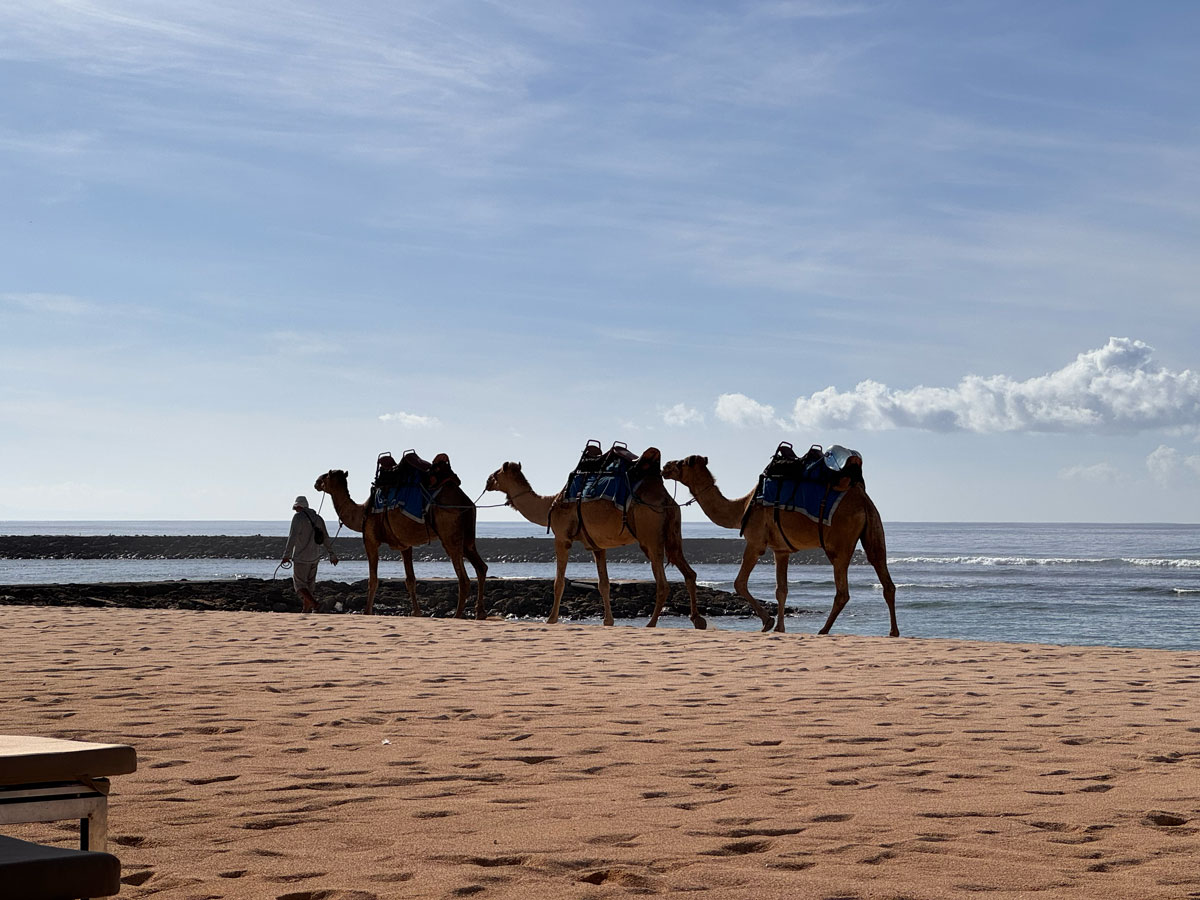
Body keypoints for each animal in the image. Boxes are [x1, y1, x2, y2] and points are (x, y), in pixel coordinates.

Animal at [313, 466, 487, 618]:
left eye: (326, 475)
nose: (316, 482)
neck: (362, 512)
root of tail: (466, 502)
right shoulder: (405, 544)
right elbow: (410, 580)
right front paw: (416, 613)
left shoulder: (370, 539)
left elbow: (373, 579)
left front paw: (367, 612)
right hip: (467, 536)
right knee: (481, 567)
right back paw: (480, 613)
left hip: (449, 533)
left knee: (463, 578)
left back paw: (457, 615)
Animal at [485, 449, 706, 629]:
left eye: (497, 472)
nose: (487, 481)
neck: (551, 502)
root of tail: (665, 498)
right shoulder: (598, 546)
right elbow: (603, 584)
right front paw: (608, 621)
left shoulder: (561, 538)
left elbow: (559, 582)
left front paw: (551, 619)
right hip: (673, 532)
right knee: (689, 572)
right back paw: (697, 620)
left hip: (649, 537)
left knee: (663, 583)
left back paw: (651, 623)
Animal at [662, 455, 897, 636]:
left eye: (683, 462)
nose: (665, 467)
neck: (743, 507)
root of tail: (864, 501)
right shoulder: (781, 550)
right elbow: (781, 589)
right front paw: (780, 628)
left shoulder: (755, 542)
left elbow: (740, 583)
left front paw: (768, 623)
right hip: (874, 531)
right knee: (885, 578)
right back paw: (893, 632)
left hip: (839, 544)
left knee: (843, 592)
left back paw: (823, 630)